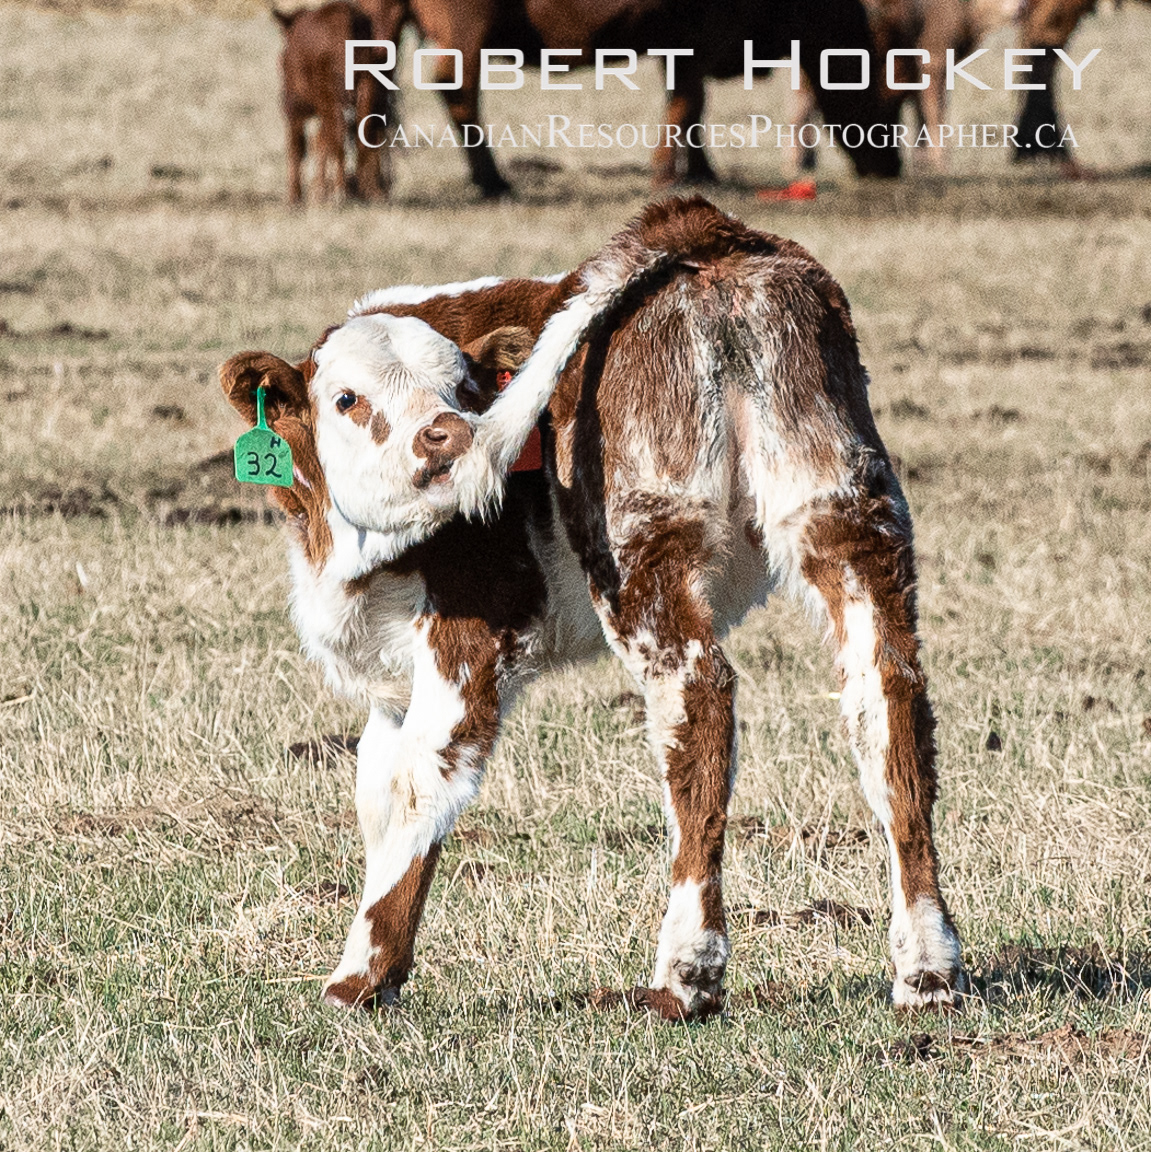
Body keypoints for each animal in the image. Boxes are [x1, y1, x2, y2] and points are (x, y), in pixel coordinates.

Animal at [220, 197, 965, 1018]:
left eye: (463, 390)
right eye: (347, 398)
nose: (446, 438)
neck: (344, 553)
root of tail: (715, 242)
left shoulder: (473, 629)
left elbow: (423, 781)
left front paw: (362, 974)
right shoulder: (390, 680)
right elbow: (377, 792)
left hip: (642, 542)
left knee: (696, 704)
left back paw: (685, 974)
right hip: (845, 505)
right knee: (886, 696)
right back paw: (928, 968)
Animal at [276, 2, 393, 204]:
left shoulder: (294, 107)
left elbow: (297, 147)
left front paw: (295, 196)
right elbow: (320, 142)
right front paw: (317, 191)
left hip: (328, 95)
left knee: (337, 134)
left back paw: (340, 192)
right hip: (367, 88)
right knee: (363, 134)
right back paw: (371, 191)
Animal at [355, 0, 900, 197]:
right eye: (888, 94)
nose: (892, 164)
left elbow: (689, 109)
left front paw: (702, 171)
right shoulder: (699, 36)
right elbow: (686, 103)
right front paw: (666, 174)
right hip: (465, 29)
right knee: (459, 93)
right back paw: (491, 180)